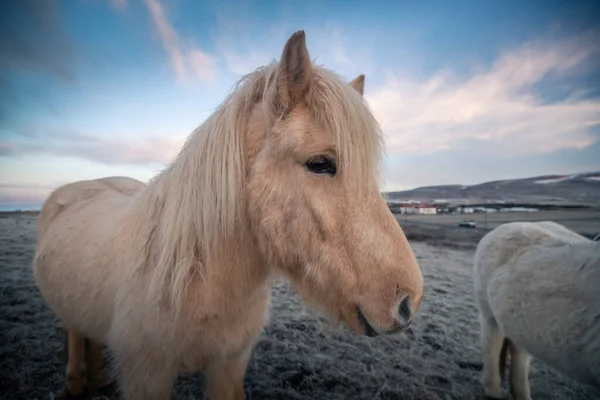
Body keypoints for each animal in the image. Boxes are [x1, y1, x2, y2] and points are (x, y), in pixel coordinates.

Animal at [32, 31, 424, 400]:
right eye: (320, 164)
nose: (408, 302)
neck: (193, 278)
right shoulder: (146, 375)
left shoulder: (230, 363)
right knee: (73, 332)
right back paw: (77, 381)